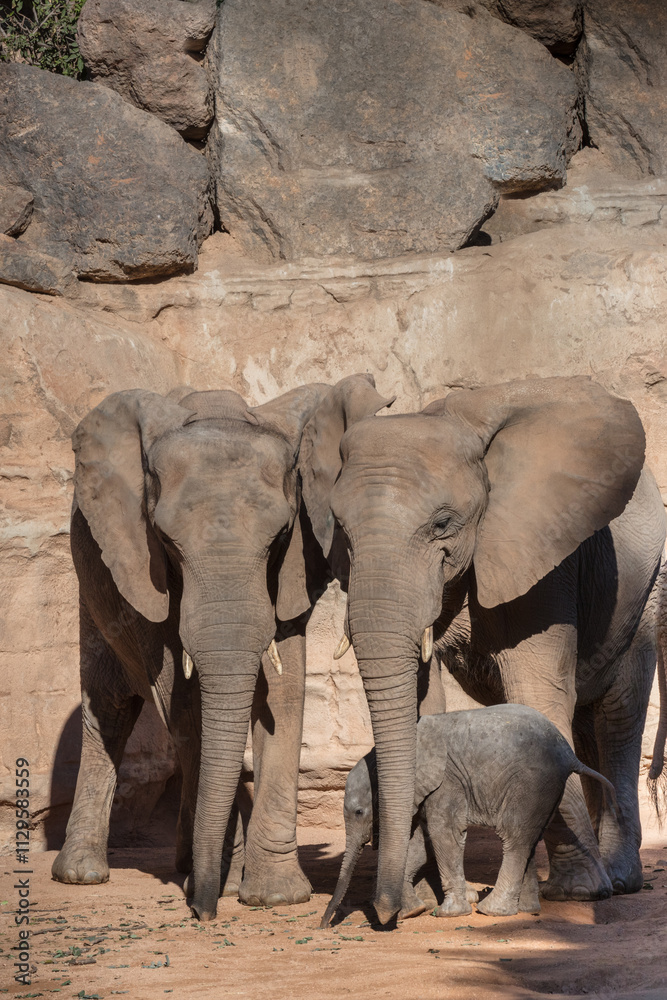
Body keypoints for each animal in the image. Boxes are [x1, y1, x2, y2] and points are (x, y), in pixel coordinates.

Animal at [51, 374, 393, 922]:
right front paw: (227, 884)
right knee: (110, 703)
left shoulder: (295, 565)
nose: (204, 913)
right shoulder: (144, 565)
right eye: (167, 542)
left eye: (279, 536)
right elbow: (183, 701)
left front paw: (274, 895)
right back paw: (84, 873)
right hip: (94, 573)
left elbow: (283, 688)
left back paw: (187, 862)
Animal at [321, 705, 617, 928]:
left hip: (532, 783)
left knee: (514, 838)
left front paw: (447, 914)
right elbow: (419, 845)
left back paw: (492, 910)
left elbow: (445, 835)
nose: (324, 925)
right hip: (547, 789)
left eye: (359, 812)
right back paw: (525, 908)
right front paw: (411, 912)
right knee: (529, 840)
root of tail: (569, 754)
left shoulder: (447, 782)